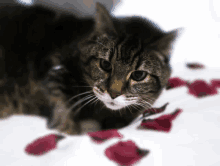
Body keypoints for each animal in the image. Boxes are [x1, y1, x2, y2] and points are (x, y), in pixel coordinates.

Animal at [0, 2, 179, 135]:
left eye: (139, 75)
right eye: (105, 65)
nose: (113, 93)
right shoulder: (54, 69)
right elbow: (61, 102)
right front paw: (68, 129)